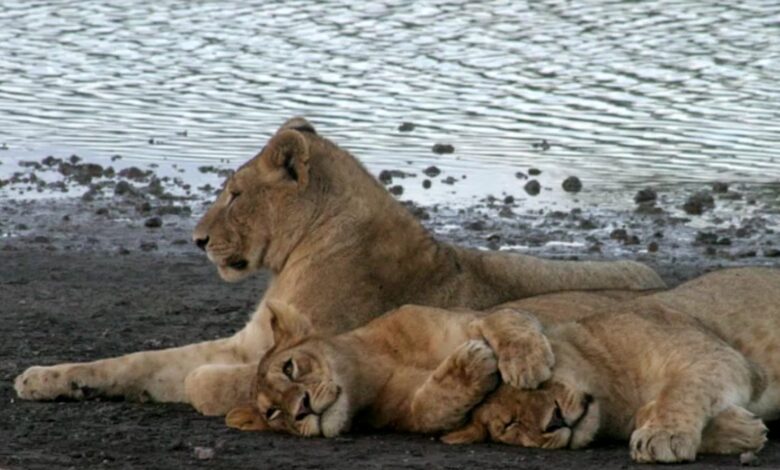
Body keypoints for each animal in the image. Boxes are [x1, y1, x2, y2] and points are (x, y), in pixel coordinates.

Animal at [14, 117, 664, 416]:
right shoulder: (245, 340)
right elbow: (137, 361)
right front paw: (45, 377)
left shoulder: (286, 347)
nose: (196, 240)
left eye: (234, 194)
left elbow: (199, 377)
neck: (302, 252)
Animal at [235, 268, 779, 464]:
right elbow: (431, 409)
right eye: (272, 414)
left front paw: (518, 359)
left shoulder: (477, 316)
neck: (378, 367)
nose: (300, 410)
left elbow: (504, 319)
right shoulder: (404, 413)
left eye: (290, 368)